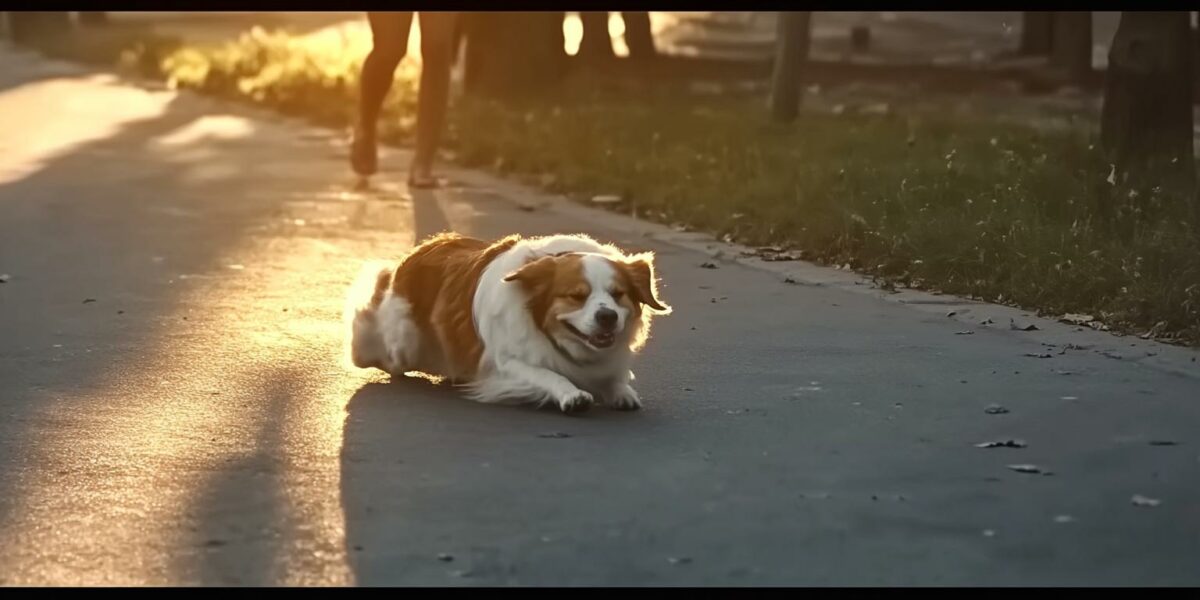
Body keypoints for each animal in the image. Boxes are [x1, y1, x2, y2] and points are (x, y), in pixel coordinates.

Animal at [345, 231, 676, 410]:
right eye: (576, 295)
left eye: (618, 294)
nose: (607, 317)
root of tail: (426, 245)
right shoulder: (505, 365)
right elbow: (548, 374)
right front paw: (571, 394)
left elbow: (615, 377)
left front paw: (621, 391)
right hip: (404, 344)